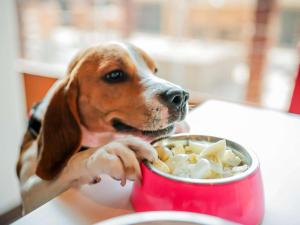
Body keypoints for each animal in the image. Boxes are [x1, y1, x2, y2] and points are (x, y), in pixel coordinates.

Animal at [16, 41, 189, 213]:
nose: (181, 96)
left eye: (155, 70)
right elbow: (74, 162)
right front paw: (107, 151)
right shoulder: (29, 193)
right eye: (115, 75)